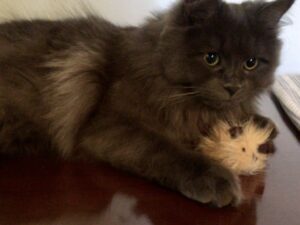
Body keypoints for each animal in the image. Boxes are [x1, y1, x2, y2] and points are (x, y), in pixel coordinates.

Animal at [0, 0, 296, 207]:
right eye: (211, 58)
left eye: (251, 63)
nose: (233, 87)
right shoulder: (108, 125)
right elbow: (164, 148)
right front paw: (214, 178)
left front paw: (263, 124)